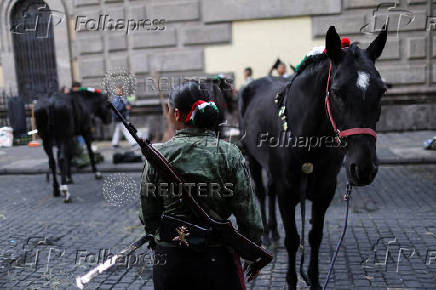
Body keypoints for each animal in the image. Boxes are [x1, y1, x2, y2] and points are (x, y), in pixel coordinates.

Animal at [240, 26, 386, 288]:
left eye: (381, 91)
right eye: (337, 92)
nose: (364, 168)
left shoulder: (324, 192)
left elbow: (314, 236)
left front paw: (315, 279)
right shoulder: (288, 194)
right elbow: (292, 238)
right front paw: (291, 280)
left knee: (270, 191)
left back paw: (273, 232)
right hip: (253, 160)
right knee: (263, 193)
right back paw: (266, 233)